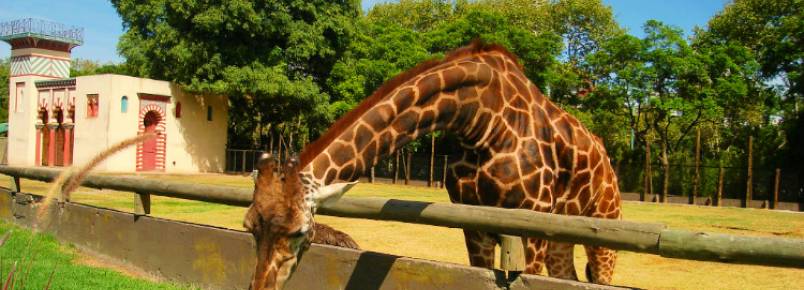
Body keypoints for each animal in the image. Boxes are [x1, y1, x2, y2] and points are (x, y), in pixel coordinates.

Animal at [245, 40, 620, 288]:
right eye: (249, 226)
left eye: (300, 232)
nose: (261, 287)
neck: (480, 120)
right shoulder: (475, 225)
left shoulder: (531, 223)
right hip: (561, 239)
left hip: (602, 229)